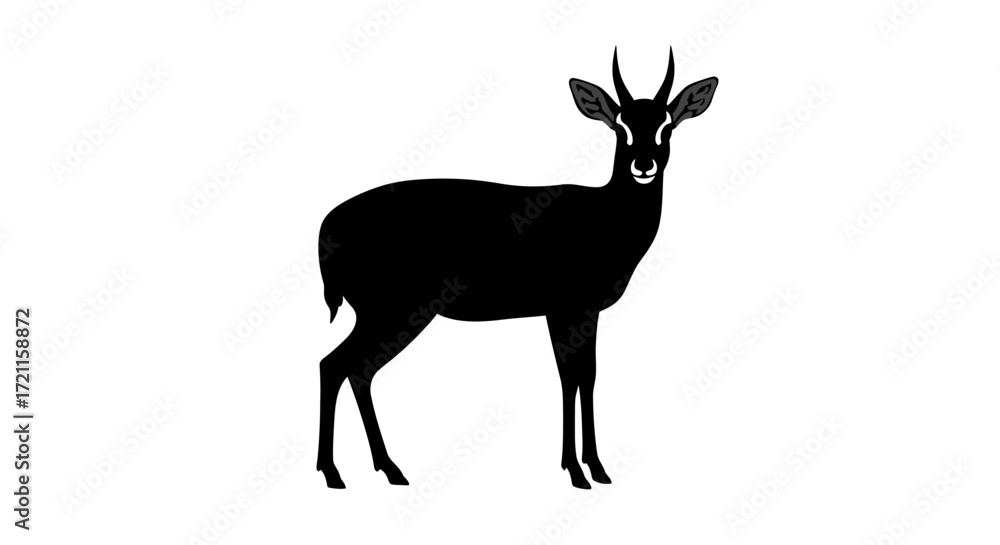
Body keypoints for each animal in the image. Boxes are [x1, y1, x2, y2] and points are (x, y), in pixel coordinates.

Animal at [316, 48, 718, 489]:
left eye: (667, 125)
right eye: (620, 125)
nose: (643, 166)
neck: (605, 216)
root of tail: (327, 226)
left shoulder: (581, 312)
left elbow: (586, 376)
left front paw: (593, 467)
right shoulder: (567, 309)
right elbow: (571, 377)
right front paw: (579, 470)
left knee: (356, 369)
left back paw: (387, 469)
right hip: (391, 311)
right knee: (335, 365)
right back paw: (335, 473)